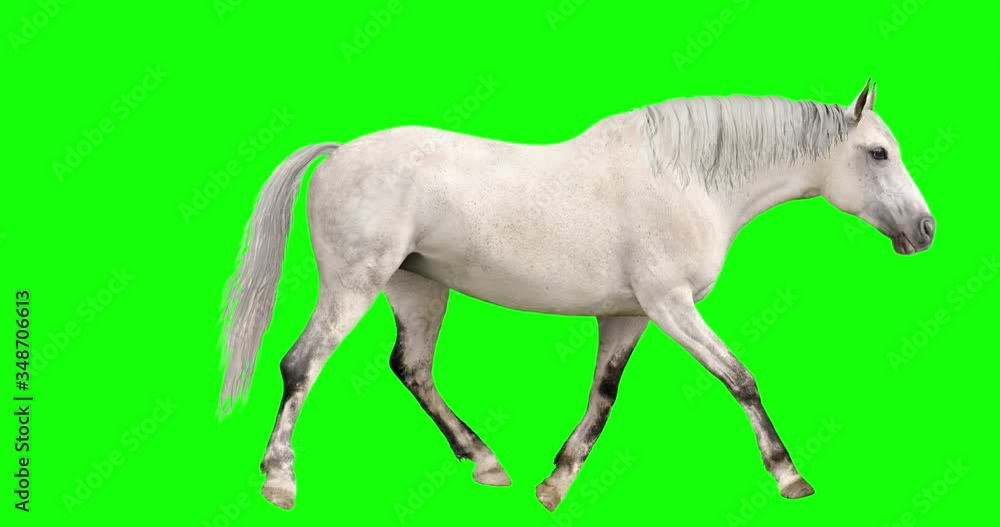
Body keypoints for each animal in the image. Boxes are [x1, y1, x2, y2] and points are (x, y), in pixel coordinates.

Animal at [217, 79, 934, 511]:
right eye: (878, 153)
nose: (925, 230)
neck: (688, 179)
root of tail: (340, 152)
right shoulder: (672, 305)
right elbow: (741, 378)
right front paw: (789, 475)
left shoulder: (627, 316)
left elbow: (603, 398)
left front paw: (555, 483)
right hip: (354, 283)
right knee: (301, 363)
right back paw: (279, 478)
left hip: (416, 287)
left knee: (412, 367)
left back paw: (484, 461)